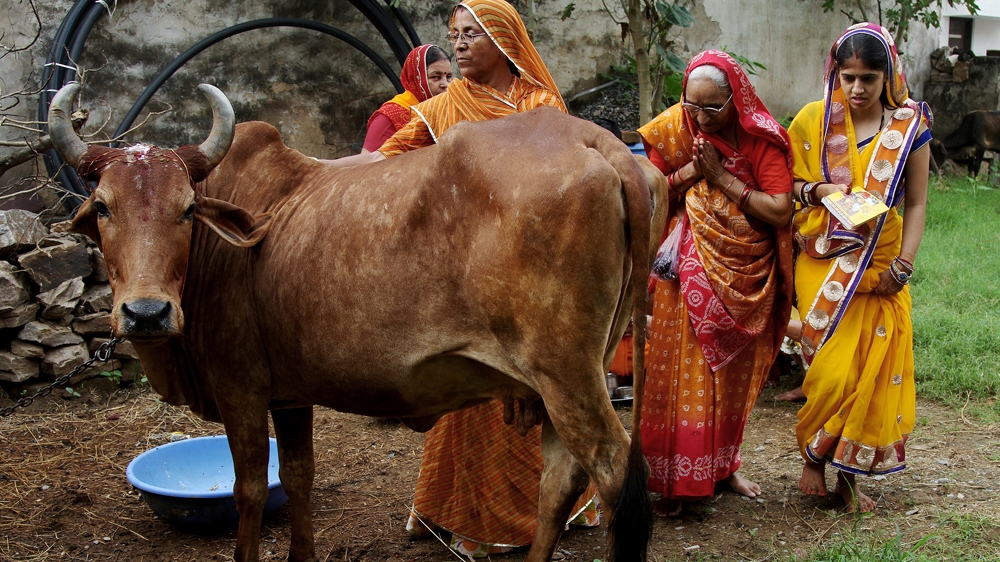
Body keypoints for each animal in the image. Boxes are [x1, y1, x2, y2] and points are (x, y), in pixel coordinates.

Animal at [48, 82, 668, 562]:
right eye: (103, 206)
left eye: (186, 209)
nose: (146, 313)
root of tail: (596, 141)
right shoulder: (289, 395)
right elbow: (299, 476)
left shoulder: (239, 388)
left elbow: (250, 490)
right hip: (566, 378)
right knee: (559, 483)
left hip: (567, 374)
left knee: (615, 474)